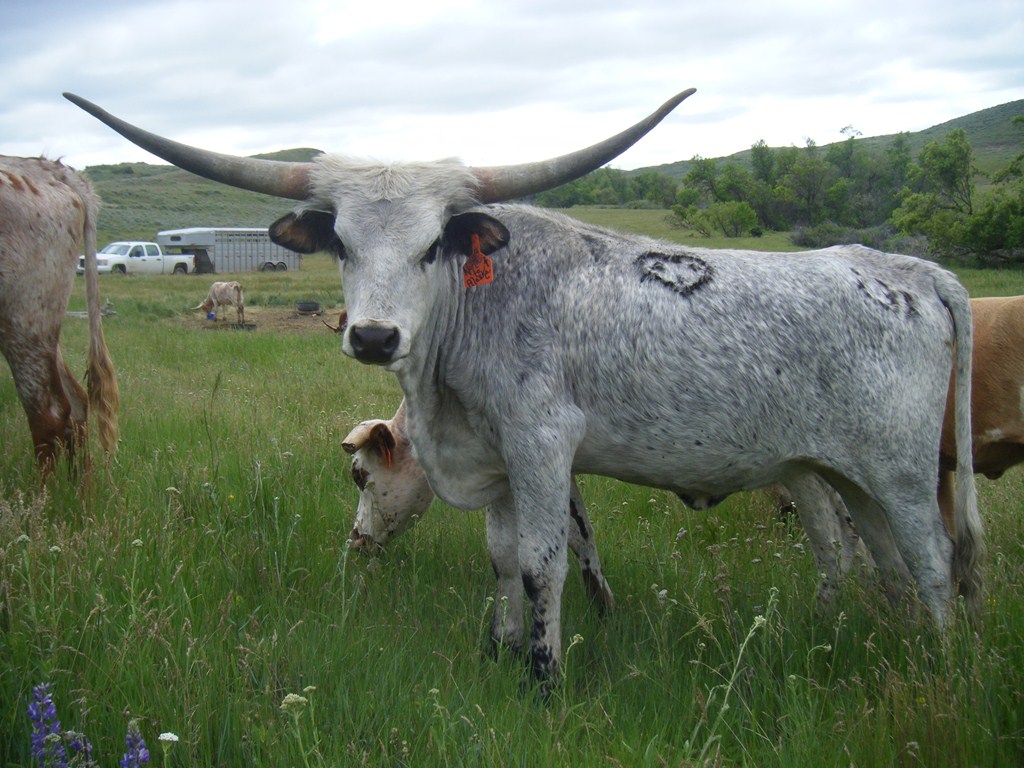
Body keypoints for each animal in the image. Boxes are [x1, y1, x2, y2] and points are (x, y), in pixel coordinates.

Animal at [0, 155, 119, 480]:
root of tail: (50, 169)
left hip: (24, 320)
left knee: (48, 415)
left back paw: (43, 495)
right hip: (45, 325)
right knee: (76, 404)